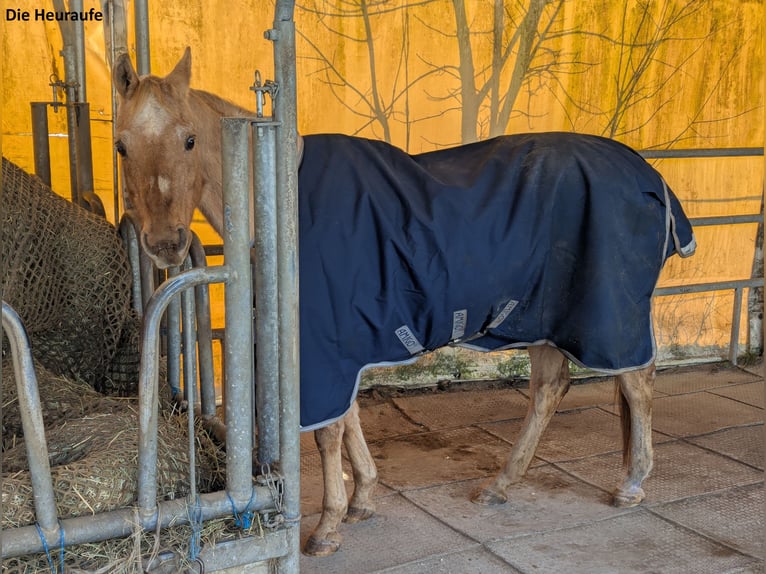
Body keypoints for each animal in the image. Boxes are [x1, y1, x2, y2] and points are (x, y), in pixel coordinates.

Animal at [114, 49, 696, 560]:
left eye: (189, 140)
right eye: (120, 146)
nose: (164, 243)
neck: (282, 205)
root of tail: (650, 176)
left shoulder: (322, 346)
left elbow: (328, 433)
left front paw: (326, 527)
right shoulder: (335, 346)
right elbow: (348, 420)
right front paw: (362, 499)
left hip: (607, 316)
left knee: (637, 383)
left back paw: (631, 483)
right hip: (541, 319)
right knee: (551, 390)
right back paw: (501, 484)